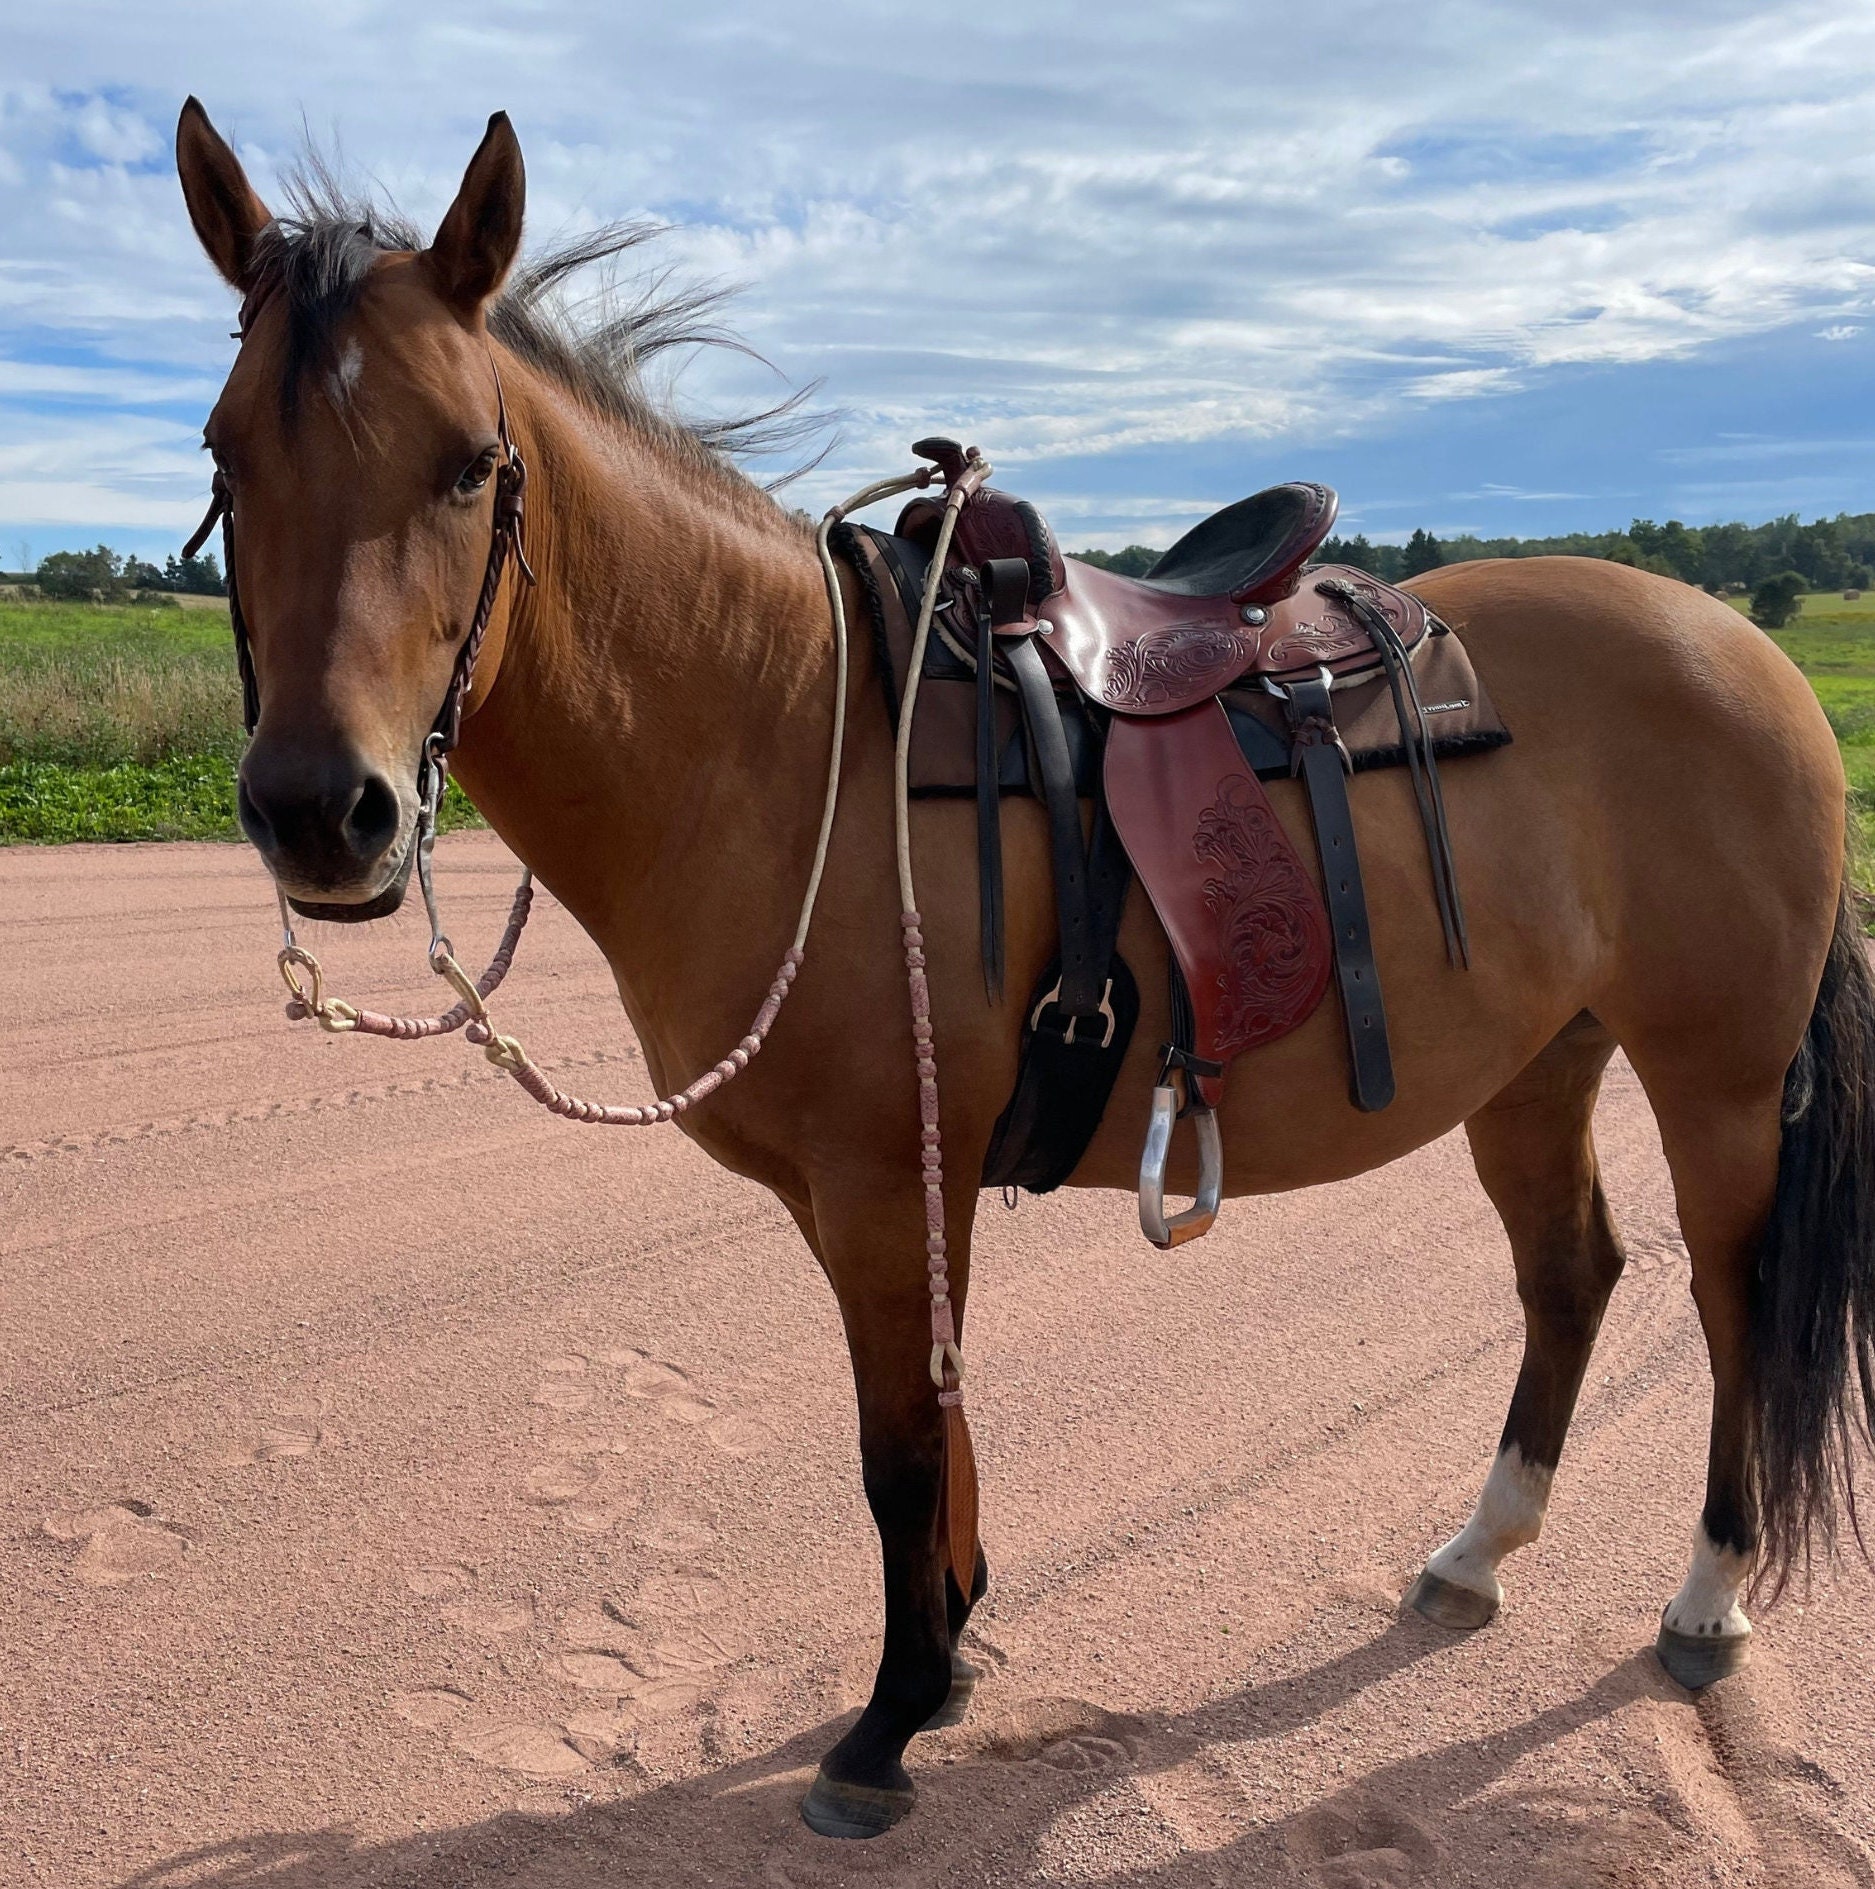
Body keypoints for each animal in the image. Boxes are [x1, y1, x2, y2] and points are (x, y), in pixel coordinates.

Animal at [174, 99, 1875, 1839]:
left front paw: (885, 1723)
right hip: (1536, 1063)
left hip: (1715, 1078)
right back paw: (1475, 1554)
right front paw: (951, 1651)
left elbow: (897, 1450)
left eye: (469, 463)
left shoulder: (880, 1182)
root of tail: (1740, 645)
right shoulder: (883, 1190)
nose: (321, 810)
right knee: (1570, 1277)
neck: (784, 737)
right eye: (227, 457)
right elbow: (941, 1424)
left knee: (1730, 1303)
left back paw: (1705, 1595)